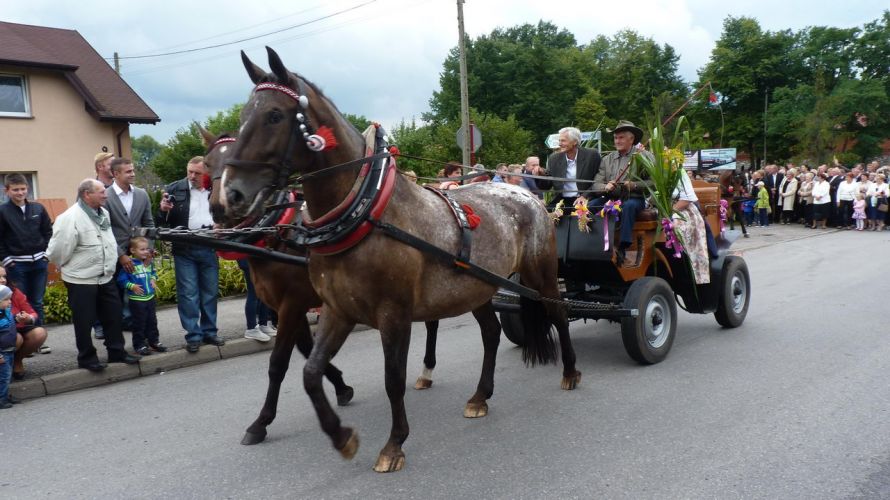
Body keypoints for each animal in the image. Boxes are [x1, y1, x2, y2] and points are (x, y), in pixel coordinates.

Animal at [215, 48, 576, 474]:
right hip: (477, 287)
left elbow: (392, 378)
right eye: (242, 117)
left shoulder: (392, 313)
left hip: (540, 275)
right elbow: (308, 372)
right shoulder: (336, 309)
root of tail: (529, 195)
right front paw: (342, 435)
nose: (231, 196)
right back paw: (480, 396)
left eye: (274, 115)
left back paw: (570, 372)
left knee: (557, 312)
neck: (366, 212)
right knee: (491, 333)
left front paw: (394, 443)